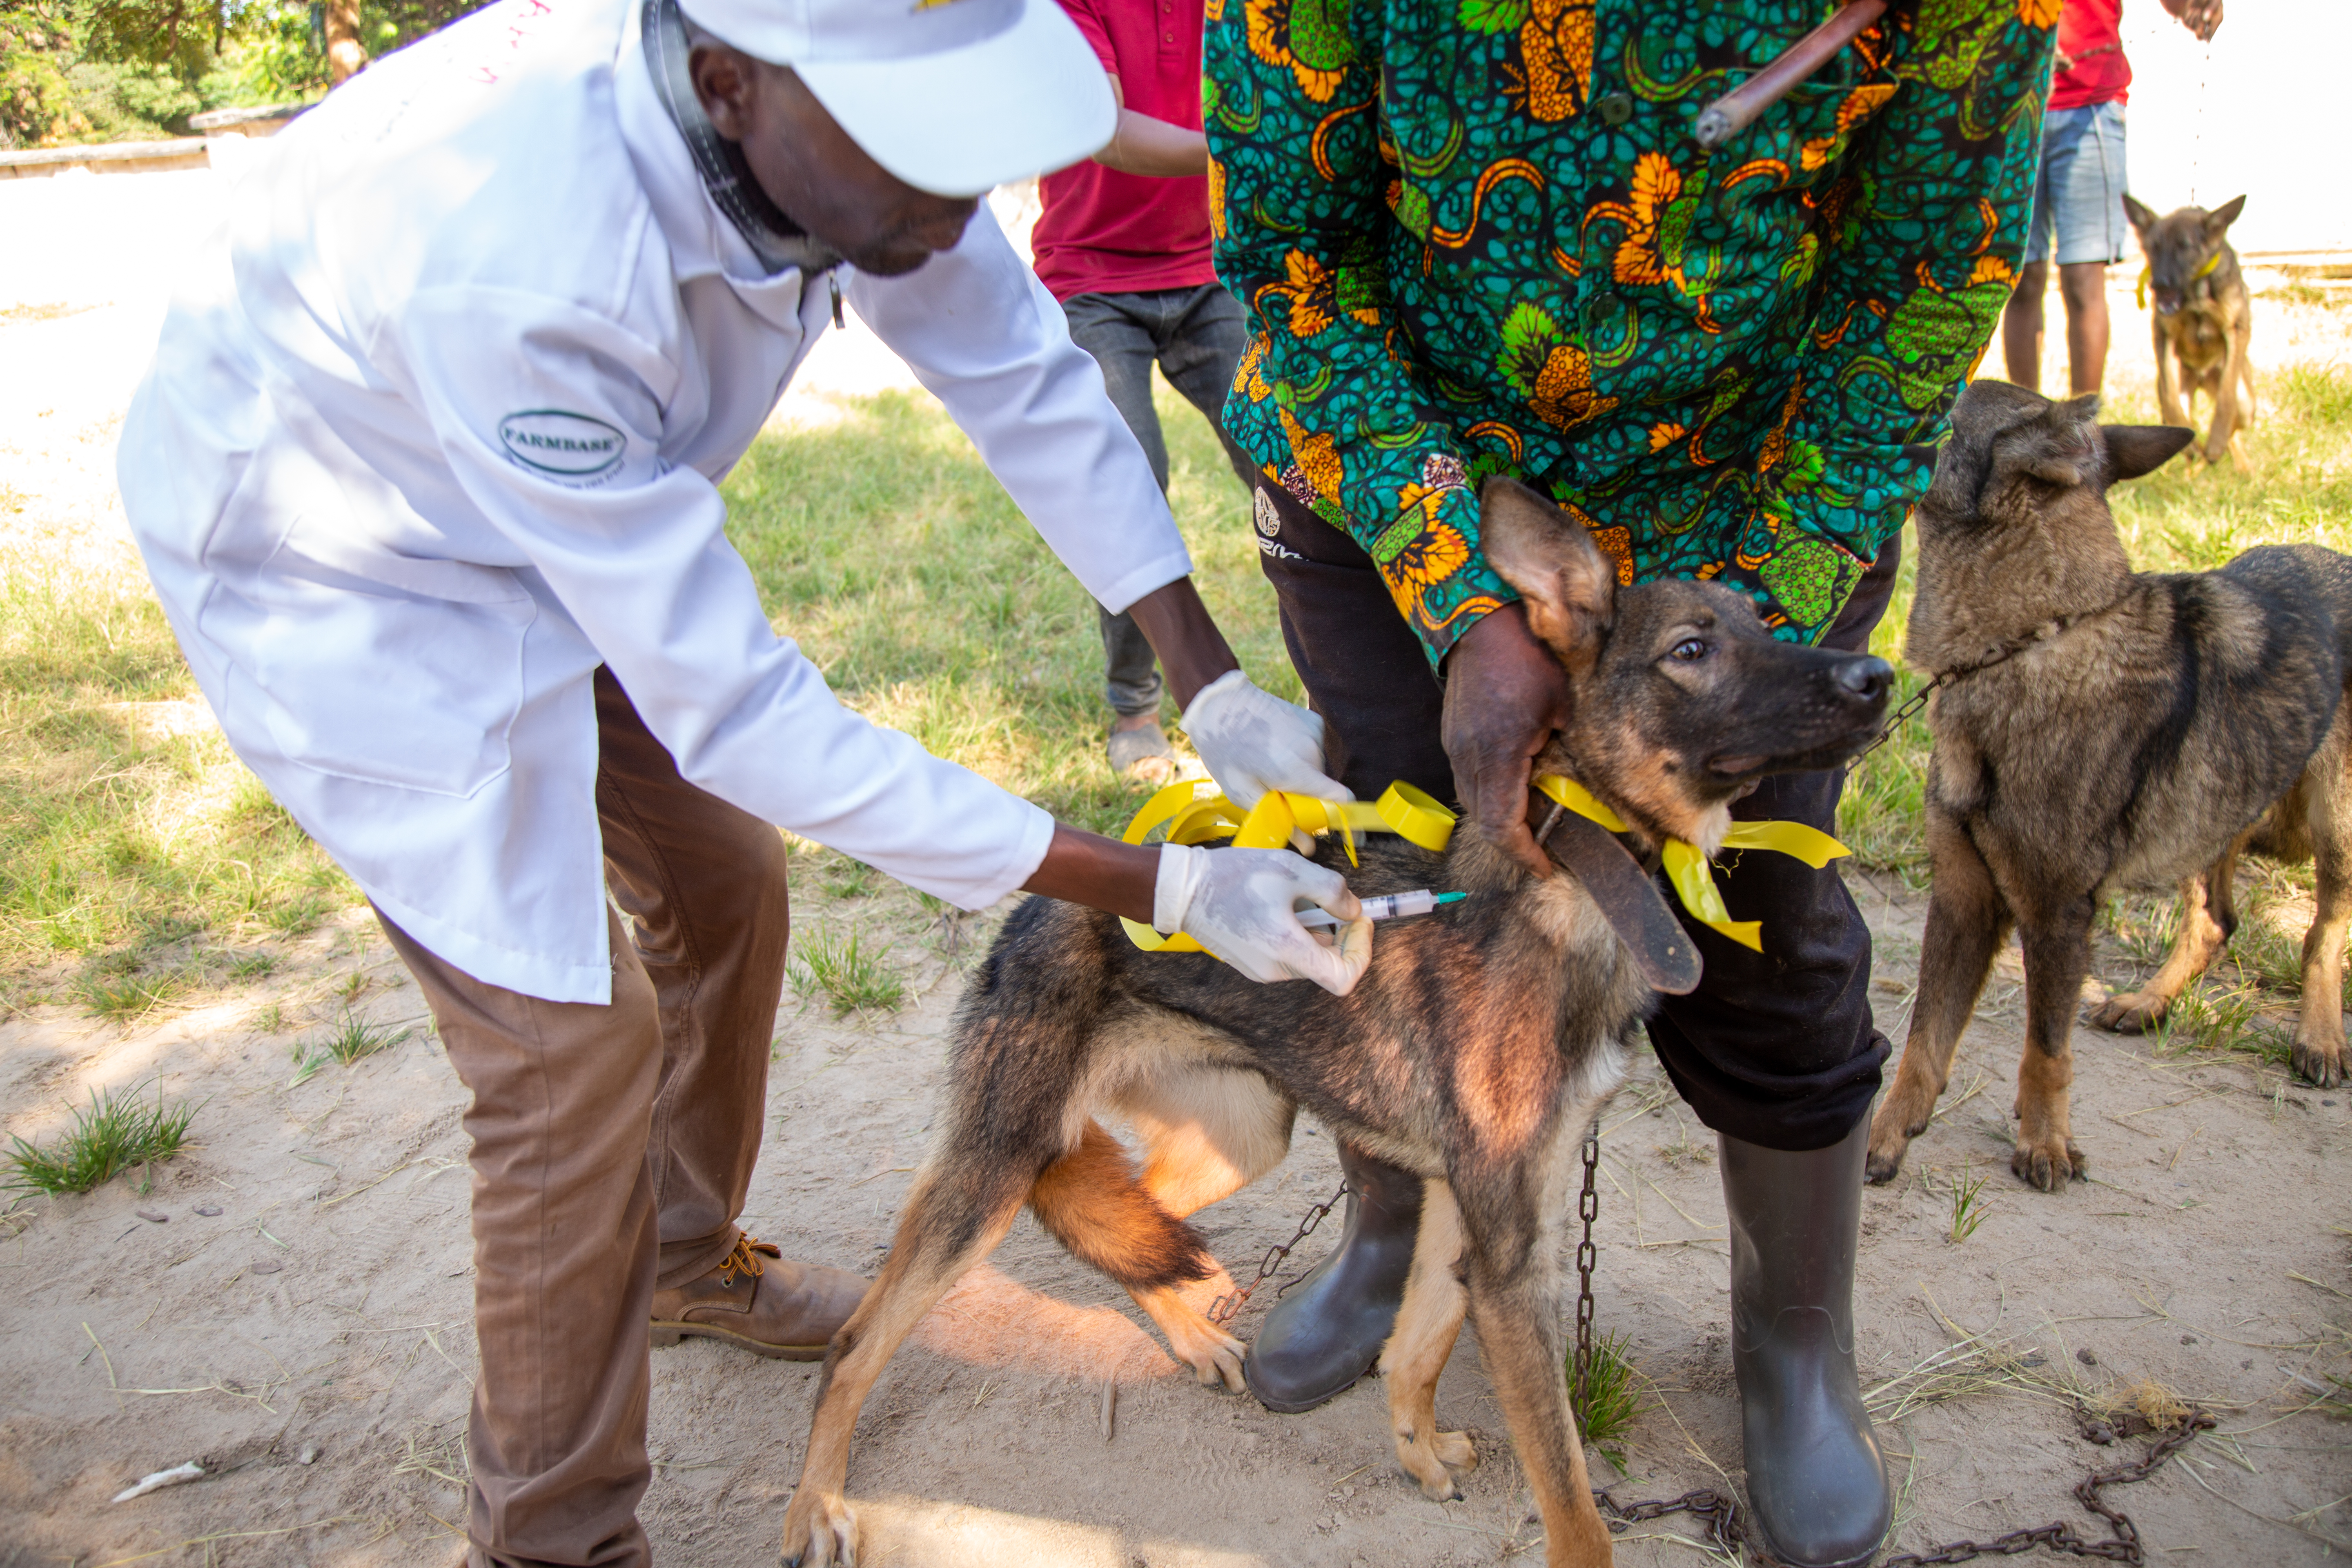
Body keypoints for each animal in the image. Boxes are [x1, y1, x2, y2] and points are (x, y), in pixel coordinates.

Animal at [776, 482, 1891, 1568]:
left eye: (1768, 623)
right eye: (1692, 651)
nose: (1877, 673)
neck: (1568, 886)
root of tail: (1038, 904)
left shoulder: (1471, 1214)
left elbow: (1416, 1347)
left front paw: (1417, 1449)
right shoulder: (1510, 1254)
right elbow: (1576, 1509)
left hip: (1240, 1131)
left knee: (1117, 1209)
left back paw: (1193, 1327)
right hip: (994, 1168)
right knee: (862, 1340)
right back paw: (815, 1506)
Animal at [1862, 381, 2342, 1189]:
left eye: (1949, 405)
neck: (2031, 639)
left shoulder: (2056, 913)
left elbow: (2046, 1048)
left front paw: (2045, 1142)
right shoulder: (1962, 897)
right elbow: (1926, 1038)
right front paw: (1886, 1135)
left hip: (2335, 827)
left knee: (2324, 931)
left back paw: (2320, 1036)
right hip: (2208, 818)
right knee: (2216, 920)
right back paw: (2147, 1003)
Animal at [2126, 195, 2248, 465]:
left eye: (2184, 247)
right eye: (2153, 247)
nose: (2159, 285)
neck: (2196, 295)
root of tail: (2201, 379)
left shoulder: (2237, 330)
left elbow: (2226, 397)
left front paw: (2216, 442)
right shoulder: (2163, 335)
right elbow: (2172, 400)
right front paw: (2191, 446)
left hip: (2248, 405)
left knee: (2237, 426)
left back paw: (2237, 461)